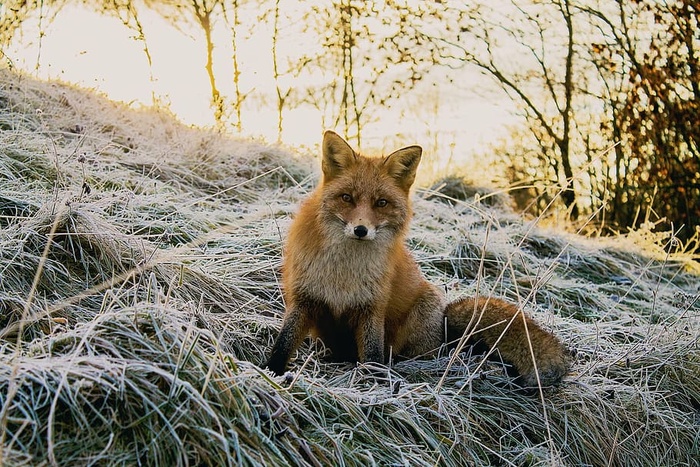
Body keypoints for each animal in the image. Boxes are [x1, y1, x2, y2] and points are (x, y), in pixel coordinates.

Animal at [266, 131, 572, 388]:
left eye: (381, 203)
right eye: (347, 198)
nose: (361, 230)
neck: (344, 271)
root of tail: (444, 331)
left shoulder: (372, 308)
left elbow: (373, 355)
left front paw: (375, 384)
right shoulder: (304, 298)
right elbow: (283, 342)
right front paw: (270, 373)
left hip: (421, 314)